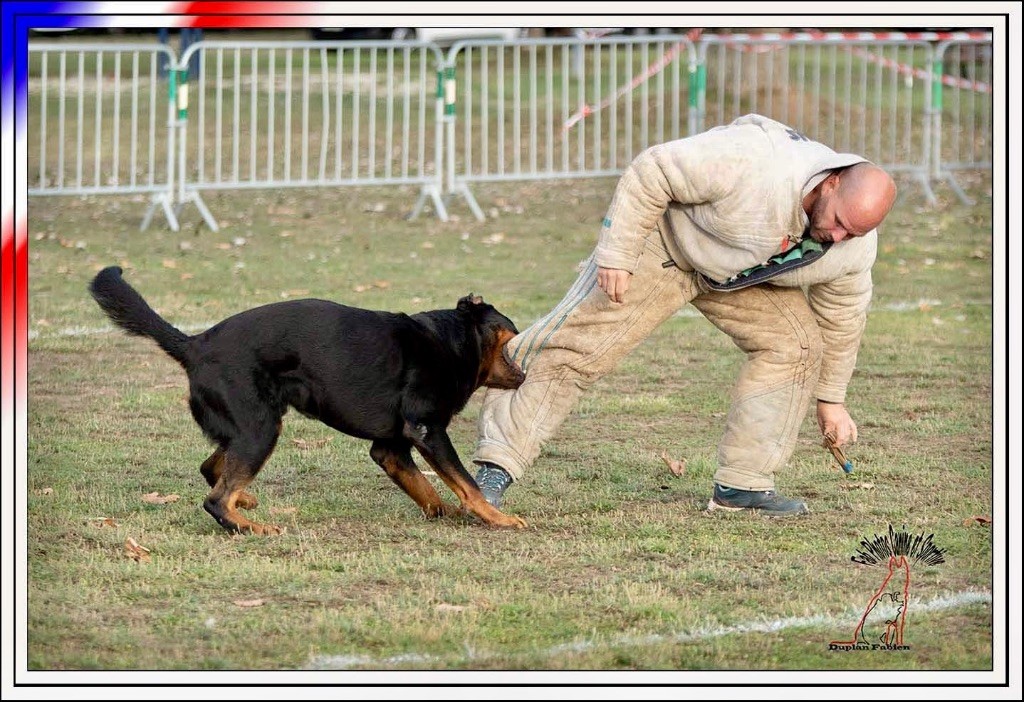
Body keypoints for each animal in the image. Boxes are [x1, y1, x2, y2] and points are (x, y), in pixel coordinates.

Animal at [89, 266, 527, 534]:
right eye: (513, 333)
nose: (525, 374)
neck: (453, 343)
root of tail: (195, 345)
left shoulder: (390, 448)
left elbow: (427, 489)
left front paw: (446, 513)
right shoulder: (427, 429)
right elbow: (465, 482)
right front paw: (498, 517)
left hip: (248, 429)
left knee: (212, 468)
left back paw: (245, 500)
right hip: (260, 430)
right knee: (215, 500)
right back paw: (253, 527)